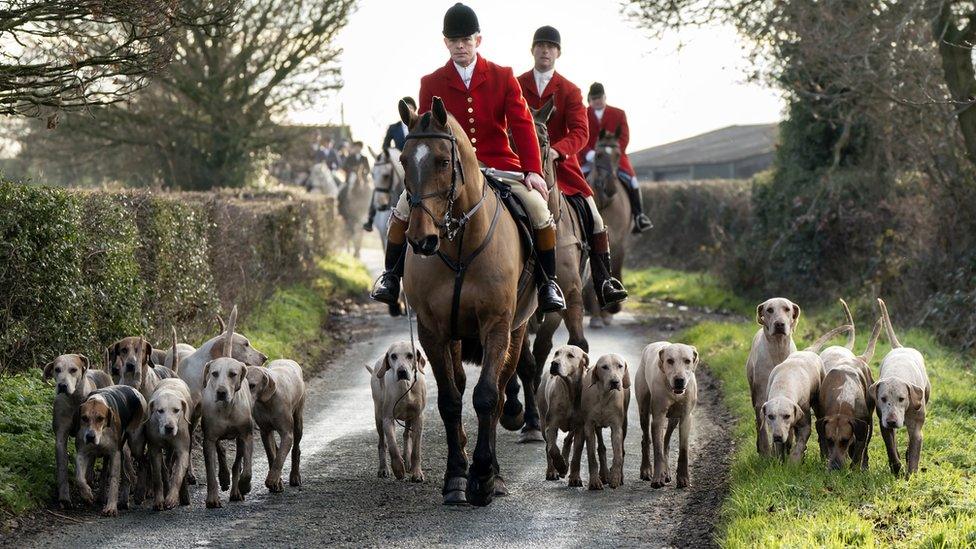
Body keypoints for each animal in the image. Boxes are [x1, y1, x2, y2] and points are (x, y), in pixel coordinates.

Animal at [396, 95, 532, 506]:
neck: (459, 244)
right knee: (457, 383)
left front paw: (483, 476)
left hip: (517, 331)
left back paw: (496, 472)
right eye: (403, 160)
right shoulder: (433, 331)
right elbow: (449, 400)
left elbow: (486, 396)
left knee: (501, 392)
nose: (421, 240)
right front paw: (457, 475)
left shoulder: (497, 325)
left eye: (443, 161)